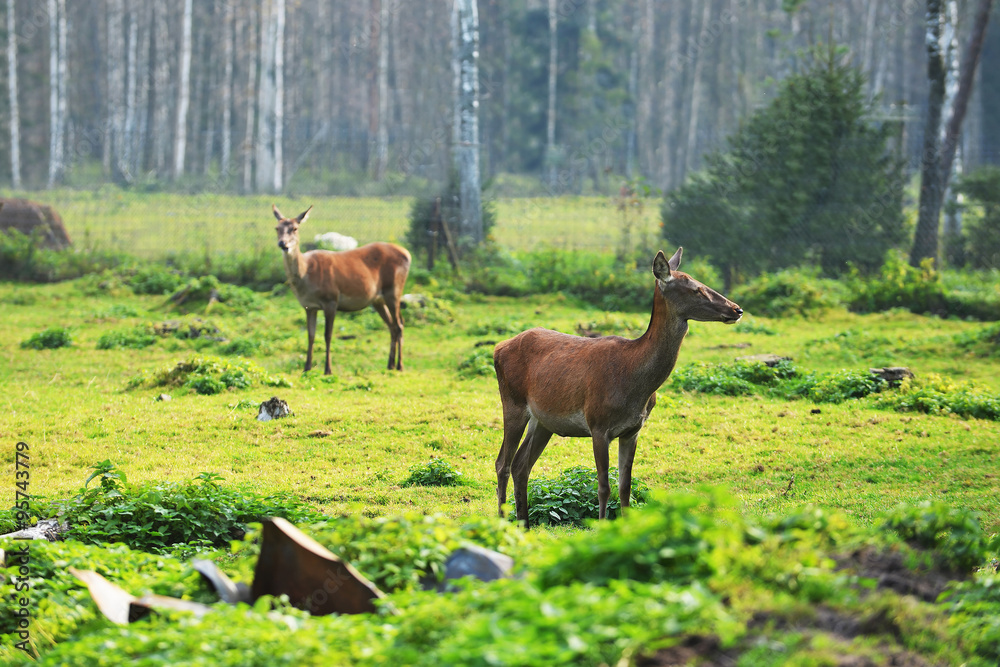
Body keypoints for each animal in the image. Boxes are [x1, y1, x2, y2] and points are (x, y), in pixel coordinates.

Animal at [274, 206, 410, 374]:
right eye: (277, 228)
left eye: (295, 228)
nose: (283, 243)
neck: (306, 277)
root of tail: (407, 254)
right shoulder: (309, 306)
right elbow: (310, 335)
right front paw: (307, 368)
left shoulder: (331, 300)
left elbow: (328, 335)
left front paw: (328, 369)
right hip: (378, 299)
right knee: (393, 325)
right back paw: (390, 364)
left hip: (394, 290)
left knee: (399, 325)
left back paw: (400, 365)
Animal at [494, 248, 744, 528]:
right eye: (696, 289)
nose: (737, 309)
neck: (634, 383)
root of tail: (498, 347)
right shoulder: (598, 424)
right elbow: (603, 486)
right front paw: (601, 527)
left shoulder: (633, 430)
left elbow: (625, 486)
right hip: (512, 402)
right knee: (502, 462)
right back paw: (503, 522)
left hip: (543, 421)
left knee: (521, 465)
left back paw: (524, 525)